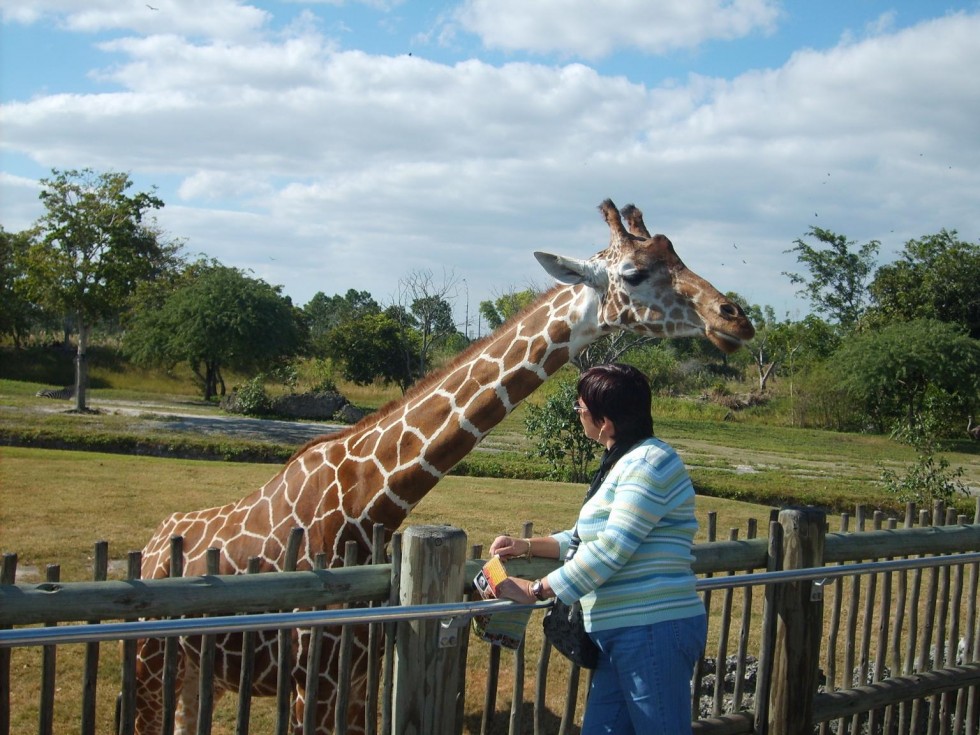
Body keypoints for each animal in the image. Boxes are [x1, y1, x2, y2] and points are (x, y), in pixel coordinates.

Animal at [132, 198, 756, 732]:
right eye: (633, 274)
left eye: (679, 256)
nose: (735, 318)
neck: (370, 503)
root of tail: (155, 542)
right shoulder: (315, 685)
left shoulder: (357, 679)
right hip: (149, 666)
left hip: (200, 673)